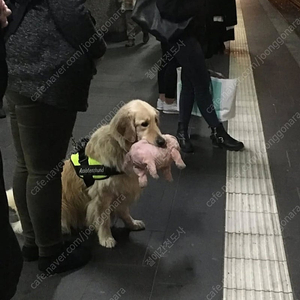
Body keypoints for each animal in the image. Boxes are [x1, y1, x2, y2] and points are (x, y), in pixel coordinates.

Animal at [59, 99, 165, 247]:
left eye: (156, 120)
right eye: (144, 124)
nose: (162, 142)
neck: (121, 148)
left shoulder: (122, 189)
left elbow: (125, 211)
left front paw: (132, 224)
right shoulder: (102, 195)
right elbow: (104, 220)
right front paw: (106, 238)